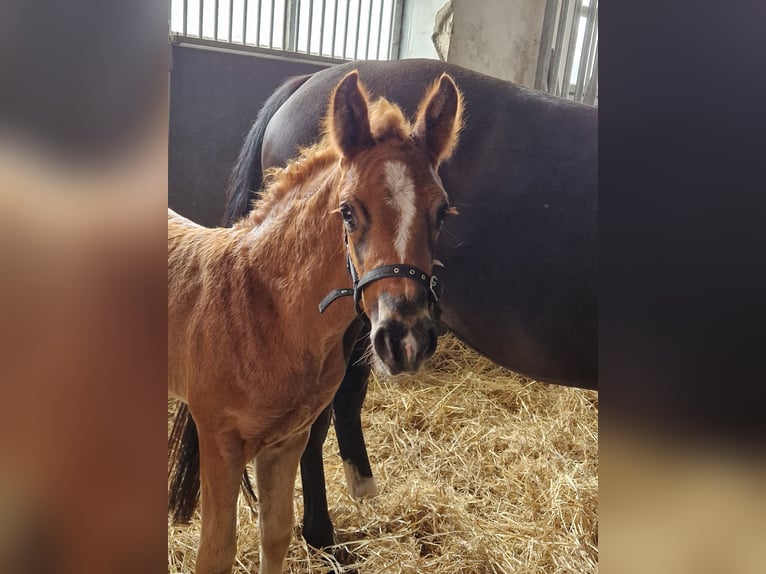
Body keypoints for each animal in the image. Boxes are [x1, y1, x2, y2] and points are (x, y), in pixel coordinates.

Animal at [168, 70, 463, 574]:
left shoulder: (288, 441)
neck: (262, 310)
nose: (404, 338)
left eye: (441, 211)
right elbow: (216, 553)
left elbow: (276, 534)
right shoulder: (219, 439)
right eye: (348, 211)